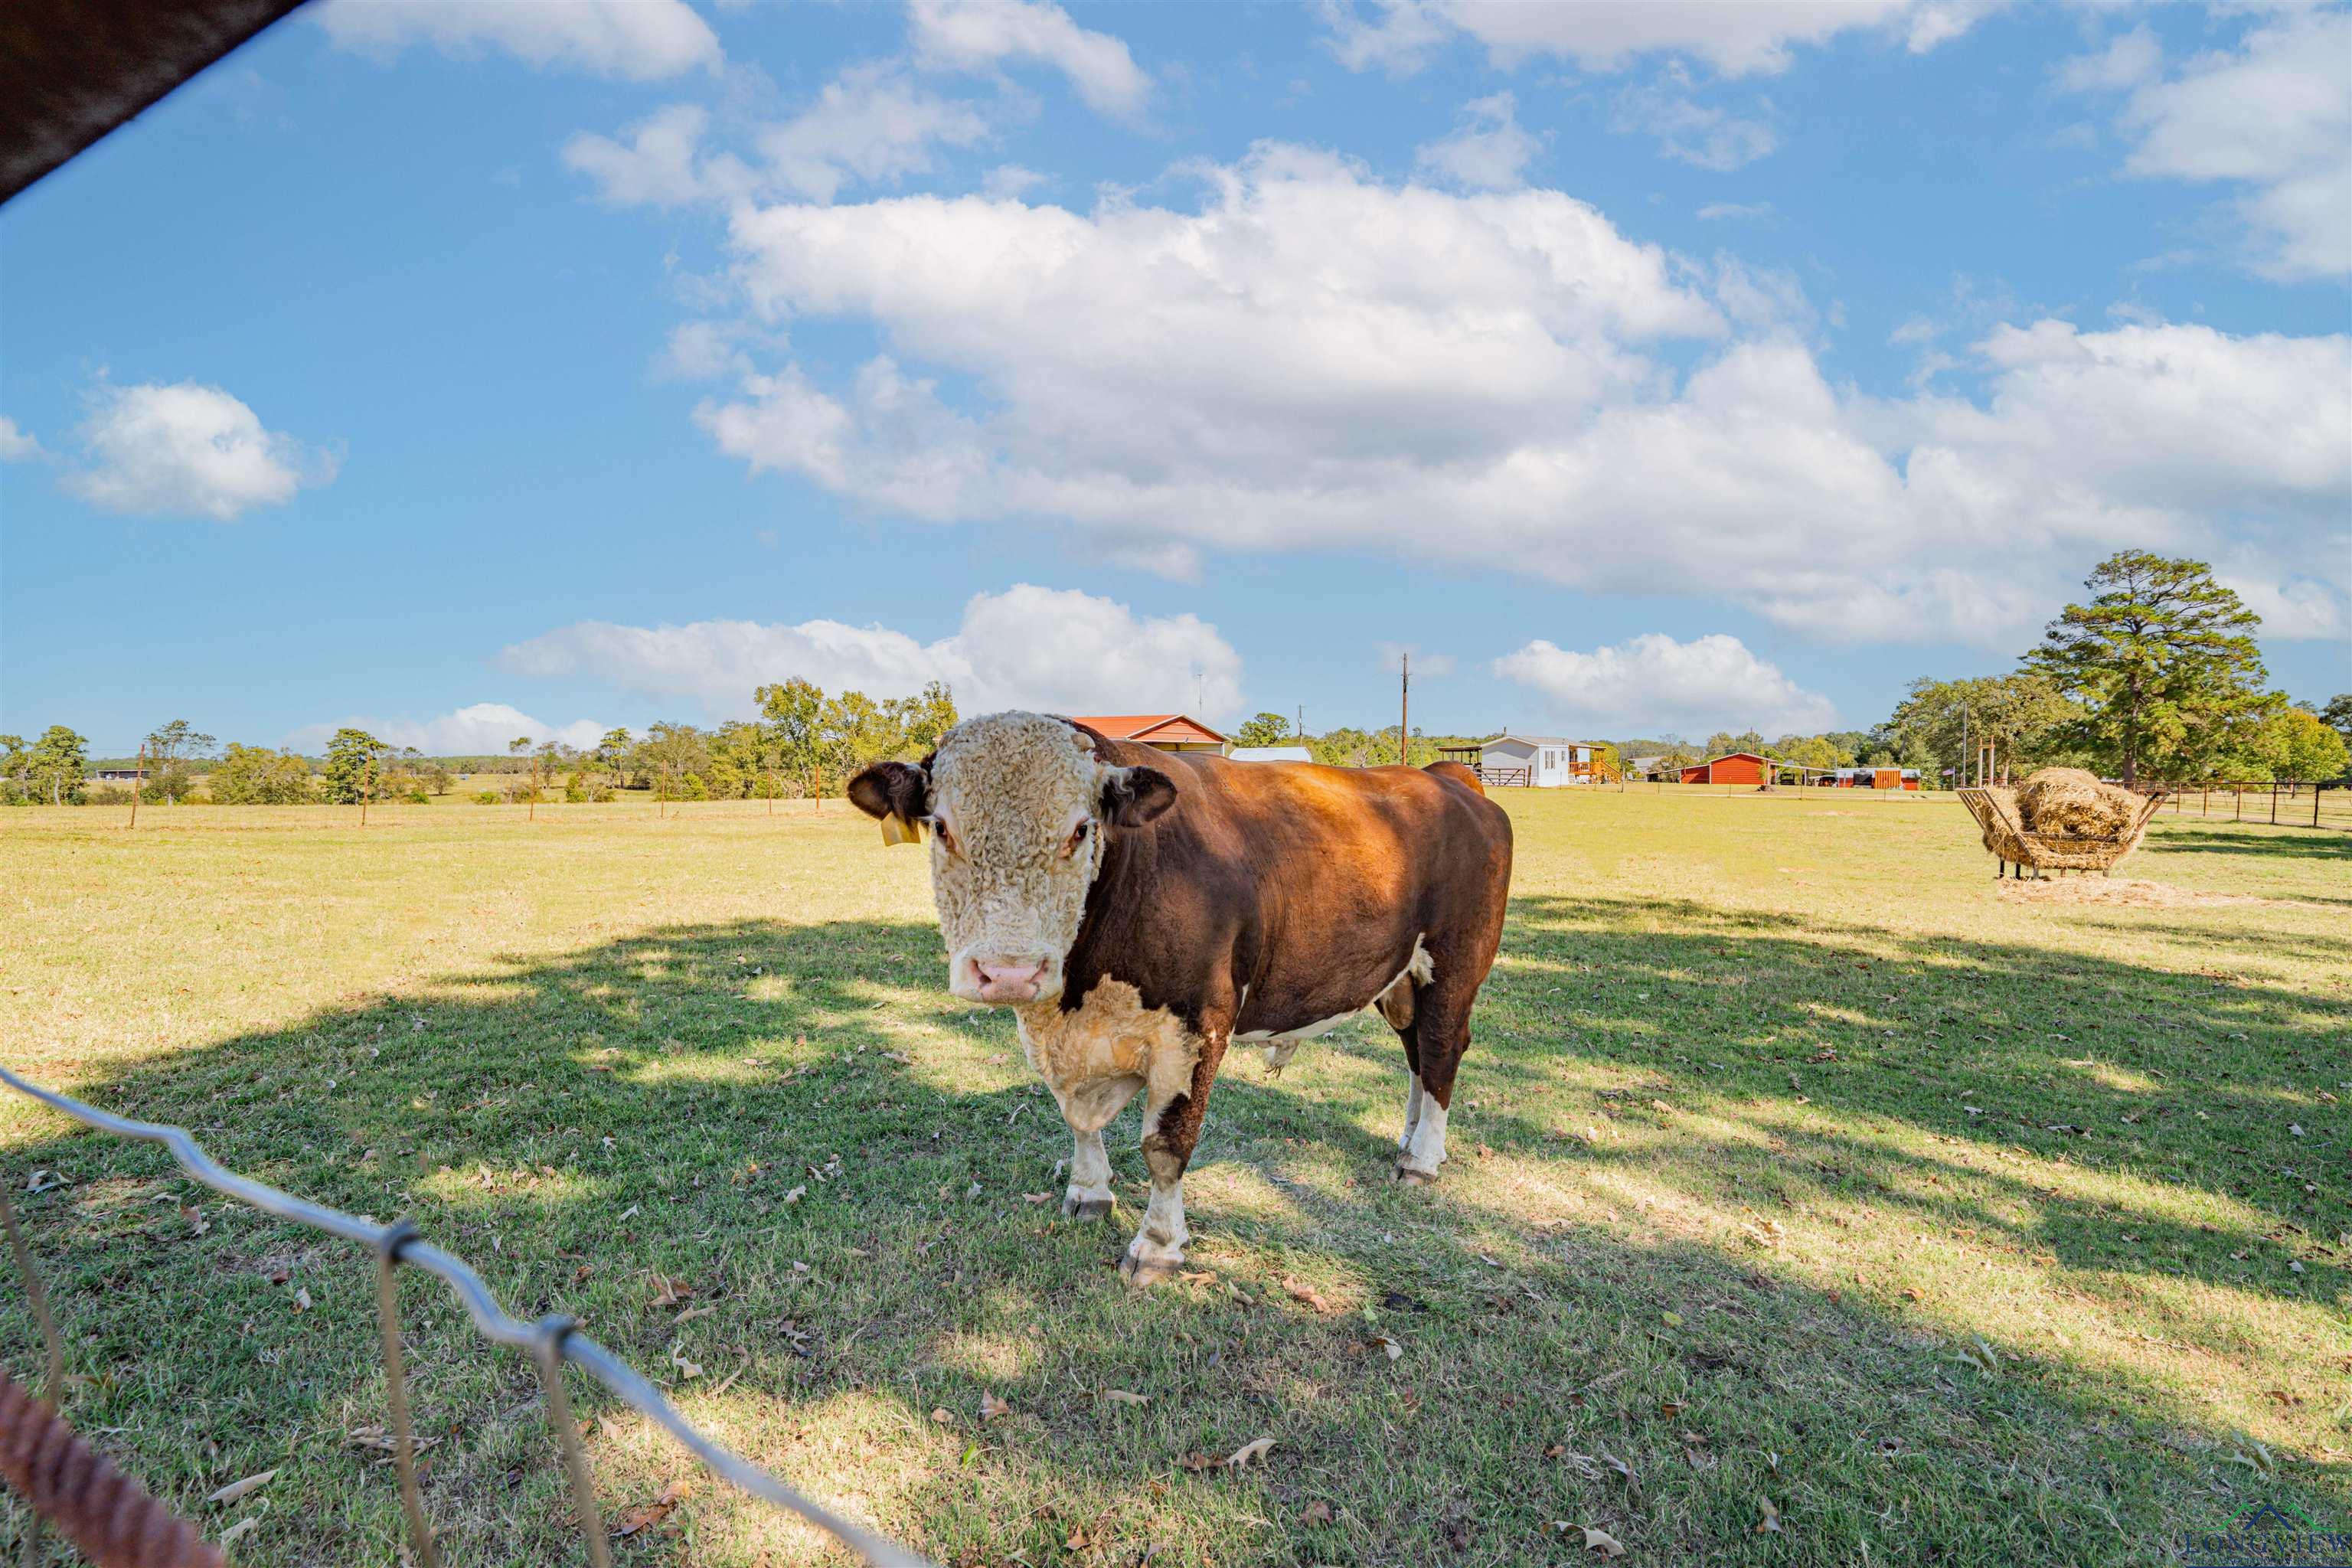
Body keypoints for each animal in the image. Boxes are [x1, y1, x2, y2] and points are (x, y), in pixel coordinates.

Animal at [849, 711, 1513, 1284]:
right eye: (941, 828)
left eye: (1080, 830)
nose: (1008, 972)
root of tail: (1444, 778)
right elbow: (1078, 1122)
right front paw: (1088, 1192)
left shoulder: (1199, 1026)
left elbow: (1166, 1147)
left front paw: (1158, 1246)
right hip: (1401, 976)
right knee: (1417, 1055)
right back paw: (1410, 1139)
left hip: (1455, 965)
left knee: (1442, 1049)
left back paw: (1421, 1160)